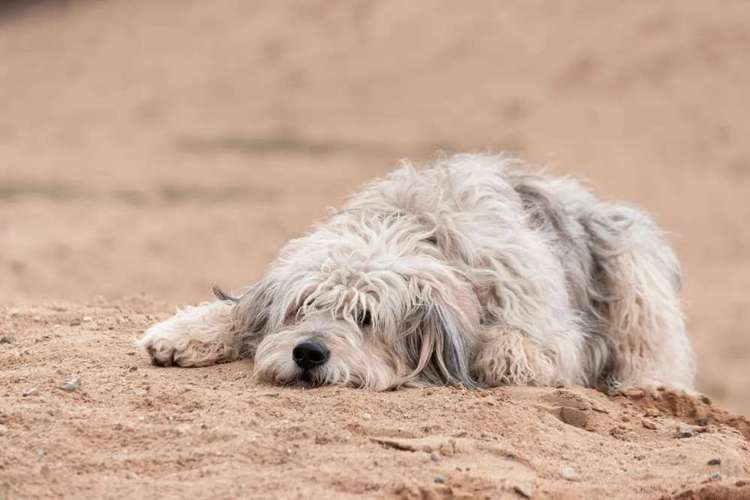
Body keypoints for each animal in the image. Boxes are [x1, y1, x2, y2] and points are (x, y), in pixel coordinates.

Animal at [137, 154, 700, 392]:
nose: (308, 352)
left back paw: (650, 385)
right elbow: (236, 310)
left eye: (366, 318)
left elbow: (511, 349)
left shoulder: (547, 334)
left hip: (633, 269)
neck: (428, 230)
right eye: (302, 307)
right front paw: (182, 334)